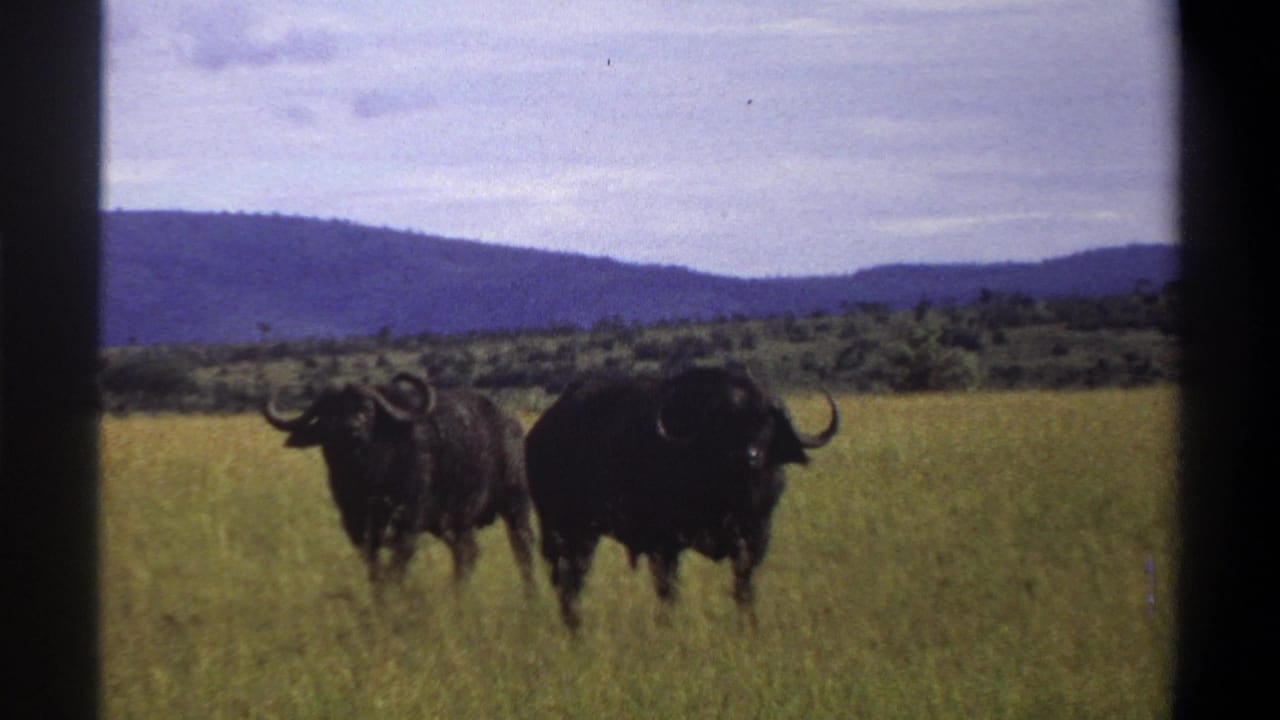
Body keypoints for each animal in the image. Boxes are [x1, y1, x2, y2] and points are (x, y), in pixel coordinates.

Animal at [263, 372, 535, 592]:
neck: (368, 478)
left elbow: (396, 571)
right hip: (455, 523)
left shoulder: (407, 527)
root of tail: (513, 424)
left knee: (523, 551)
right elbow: (375, 573)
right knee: (467, 554)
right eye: (330, 412)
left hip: (515, 504)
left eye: (368, 409)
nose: (351, 430)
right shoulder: (359, 530)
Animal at [525, 366, 838, 630]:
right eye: (723, 423)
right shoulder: (664, 545)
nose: (747, 457)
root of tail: (538, 435)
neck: (732, 494)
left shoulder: (755, 537)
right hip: (570, 533)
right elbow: (668, 590)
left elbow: (743, 586)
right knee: (570, 583)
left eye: (766, 422)